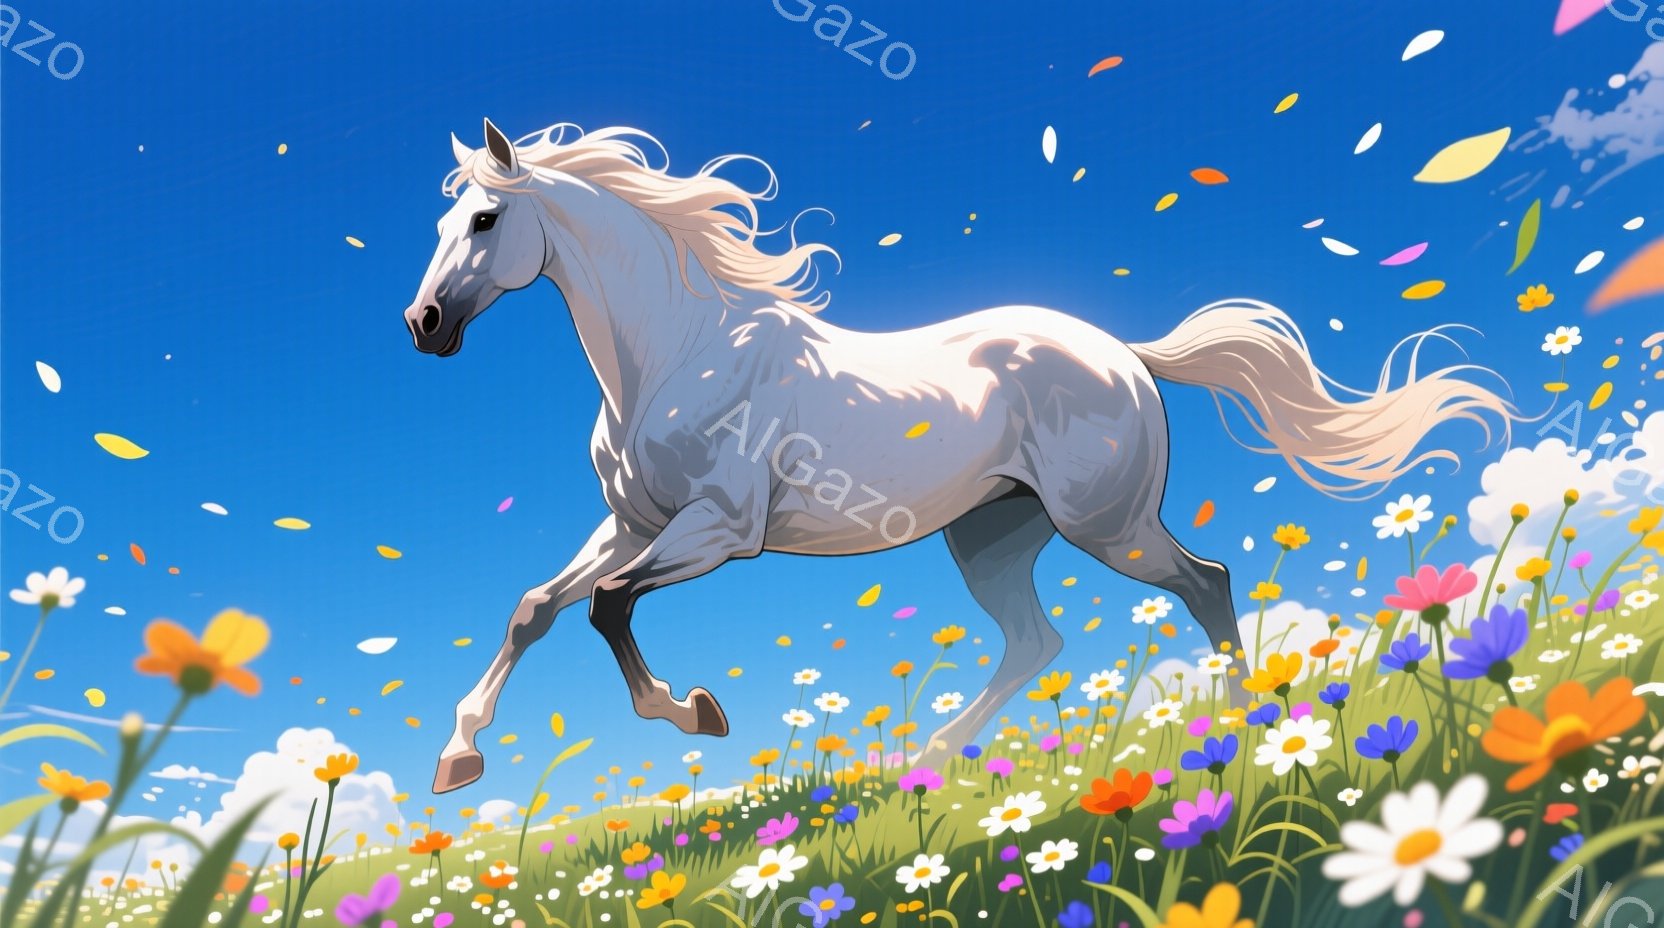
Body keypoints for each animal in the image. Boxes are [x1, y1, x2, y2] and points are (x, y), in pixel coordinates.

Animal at [405, 119, 1513, 793]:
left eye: (486, 218)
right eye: (443, 218)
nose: (423, 325)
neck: (675, 353)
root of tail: (1127, 352)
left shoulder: (717, 529)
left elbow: (606, 606)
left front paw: (696, 713)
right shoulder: (631, 521)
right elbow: (536, 607)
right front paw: (458, 758)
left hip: (1106, 525)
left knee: (1205, 580)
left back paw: (1245, 730)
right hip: (992, 537)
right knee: (1037, 641)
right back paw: (930, 760)